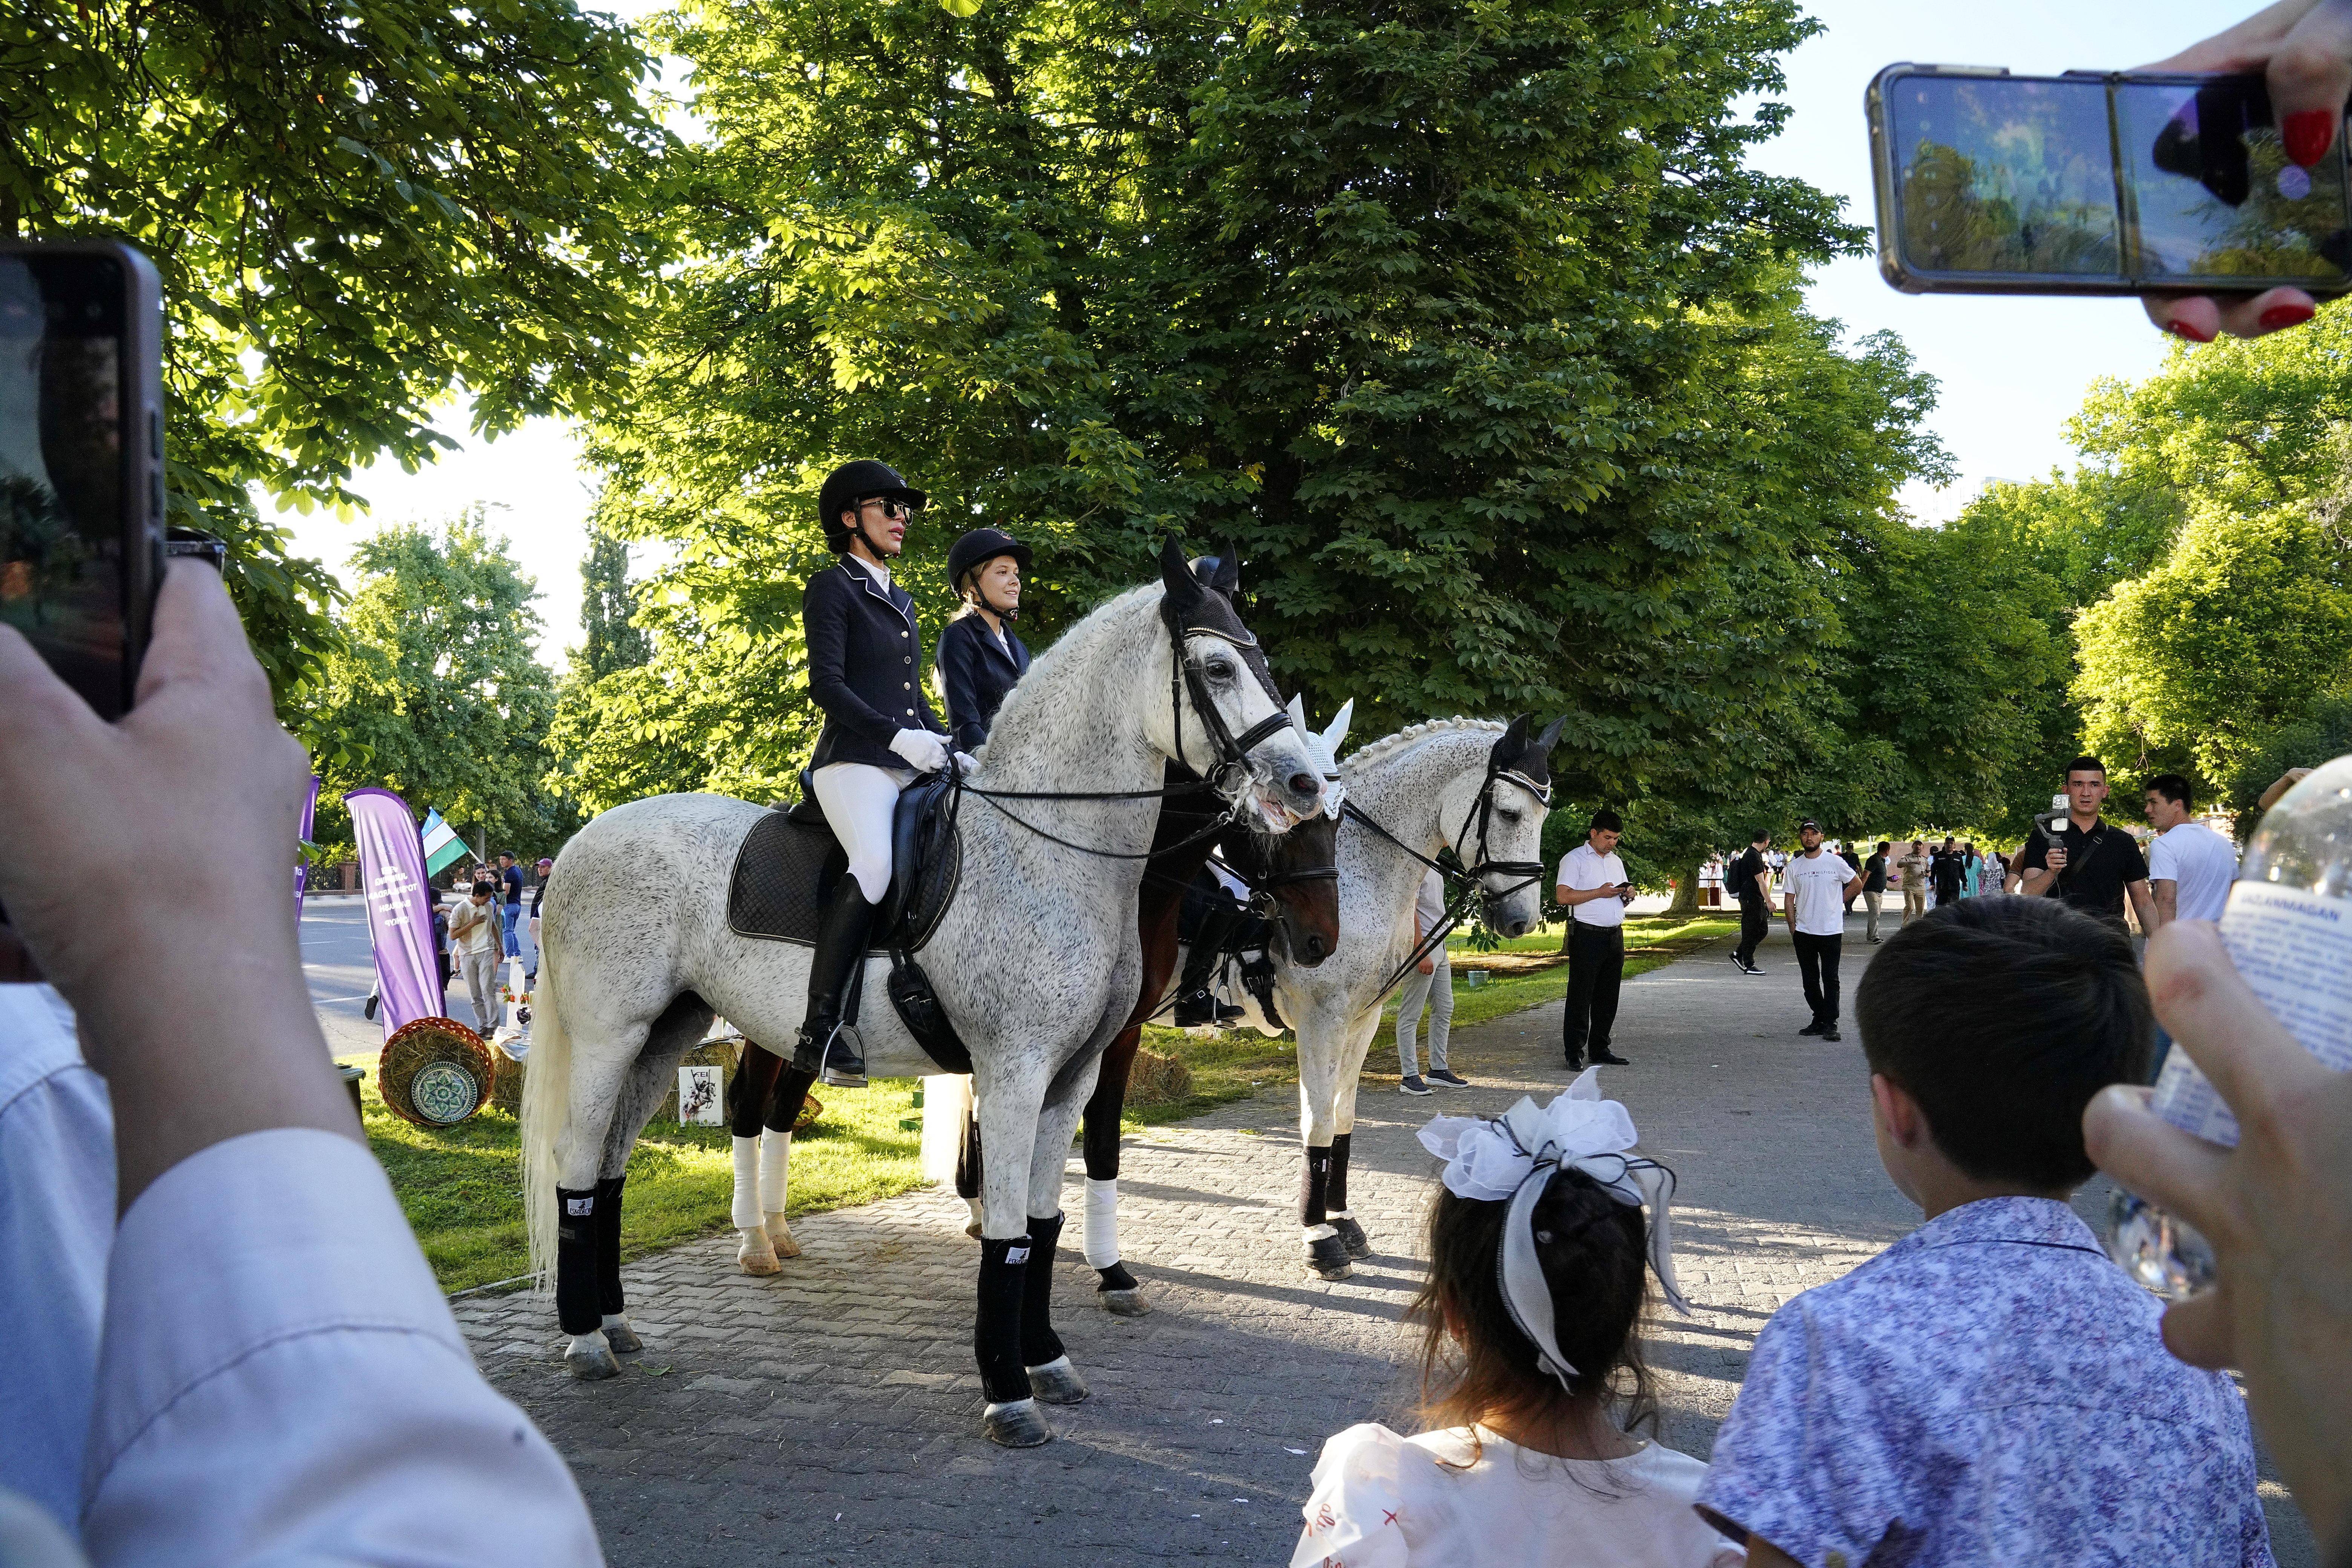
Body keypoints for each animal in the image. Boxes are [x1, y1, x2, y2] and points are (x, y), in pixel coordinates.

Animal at [1213, 719, 1562, 1279]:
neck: (1351, 867)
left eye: (1544, 814)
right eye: (1509, 813)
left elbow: (1344, 1120)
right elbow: (1318, 1122)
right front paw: (1318, 1238)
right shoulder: (1321, 1022)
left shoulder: (1363, 1018)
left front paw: (1343, 1223)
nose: (1521, 921)